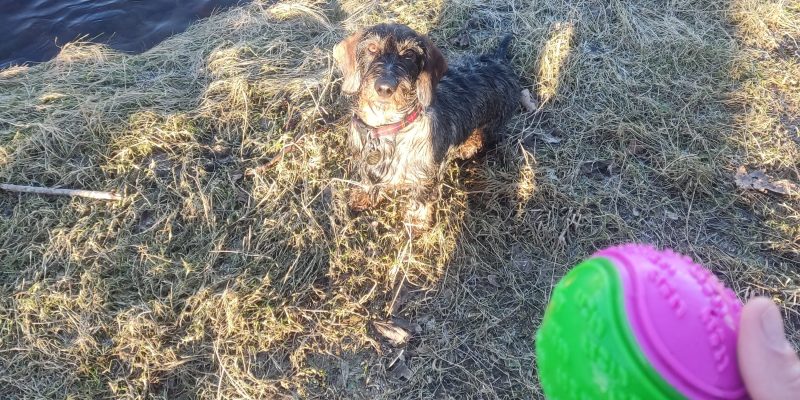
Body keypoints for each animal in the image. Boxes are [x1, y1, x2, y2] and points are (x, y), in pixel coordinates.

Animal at [332, 23, 520, 227]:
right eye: (372, 48)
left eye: (409, 54)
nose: (385, 87)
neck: (388, 125)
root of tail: (498, 60)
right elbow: (367, 178)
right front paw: (364, 195)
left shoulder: (427, 176)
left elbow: (421, 198)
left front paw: (416, 222)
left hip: (492, 126)